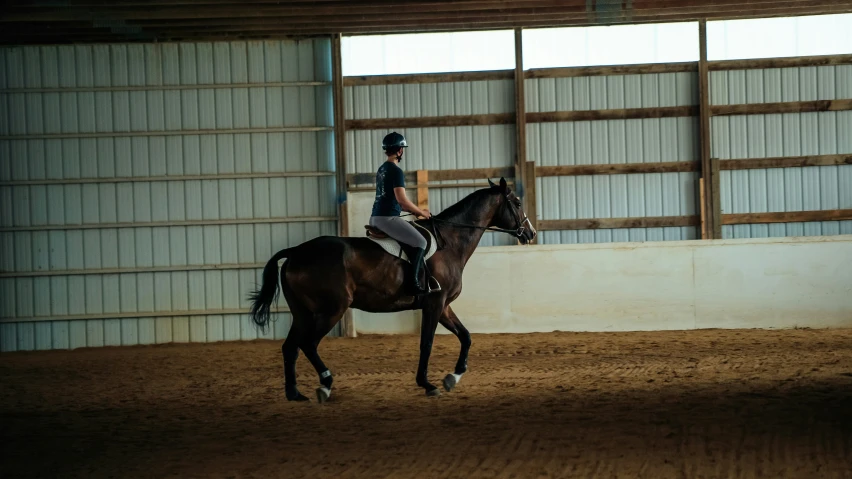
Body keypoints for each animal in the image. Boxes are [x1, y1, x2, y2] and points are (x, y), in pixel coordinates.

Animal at [250, 176, 536, 402]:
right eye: (517, 203)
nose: (531, 233)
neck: (450, 242)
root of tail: (296, 252)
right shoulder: (434, 303)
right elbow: (426, 343)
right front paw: (428, 384)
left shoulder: (443, 305)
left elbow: (465, 337)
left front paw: (452, 377)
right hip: (330, 310)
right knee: (308, 344)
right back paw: (326, 385)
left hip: (303, 313)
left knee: (290, 347)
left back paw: (294, 394)